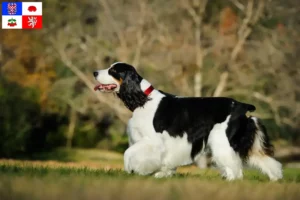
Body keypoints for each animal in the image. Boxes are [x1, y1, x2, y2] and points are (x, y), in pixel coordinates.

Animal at [92, 62, 282, 181]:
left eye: (113, 71)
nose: (94, 72)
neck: (143, 99)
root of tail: (242, 106)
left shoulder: (152, 141)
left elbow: (128, 153)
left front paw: (135, 171)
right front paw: (161, 175)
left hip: (222, 141)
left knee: (235, 168)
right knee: (263, 159)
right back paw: (274, 178)